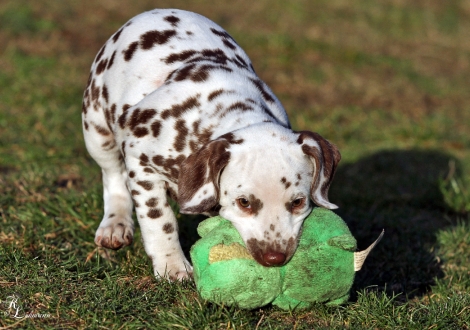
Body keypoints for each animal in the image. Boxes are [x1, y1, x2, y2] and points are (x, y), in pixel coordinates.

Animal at [82, 9, 340, 280]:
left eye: (298, 202)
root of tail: (156, 12)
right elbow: (159, 220)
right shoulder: (141, 164)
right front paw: (171, 264)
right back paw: (115, 224)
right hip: (97, 130)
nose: (274, 258)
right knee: (113, 176)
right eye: (244, 202)